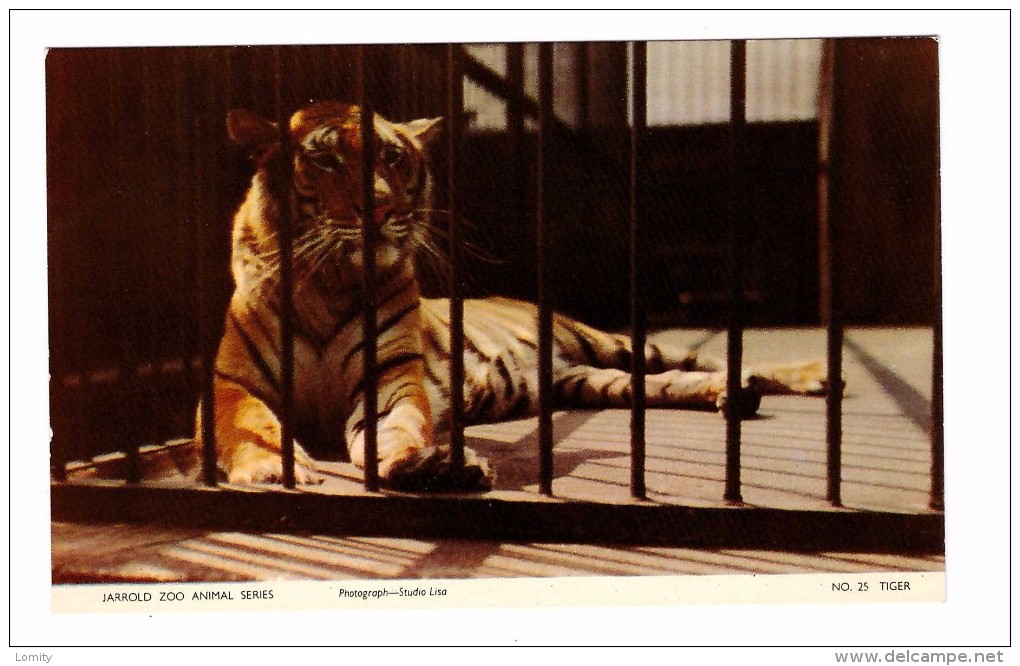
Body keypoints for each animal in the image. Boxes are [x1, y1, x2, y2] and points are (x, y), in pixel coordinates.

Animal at [202, 101, 832, 491]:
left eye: (392, 157)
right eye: (328, 160)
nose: (379, 206)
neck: (330, 281)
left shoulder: (388, 377)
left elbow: (397, 427)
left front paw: (426, 465)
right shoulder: (231, 383)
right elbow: (248, 424)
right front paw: (268, 470)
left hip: (609, 342)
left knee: (699, 358)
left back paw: (805, 376)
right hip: (584, 379)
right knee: (659, 383)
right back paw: (733, 394)